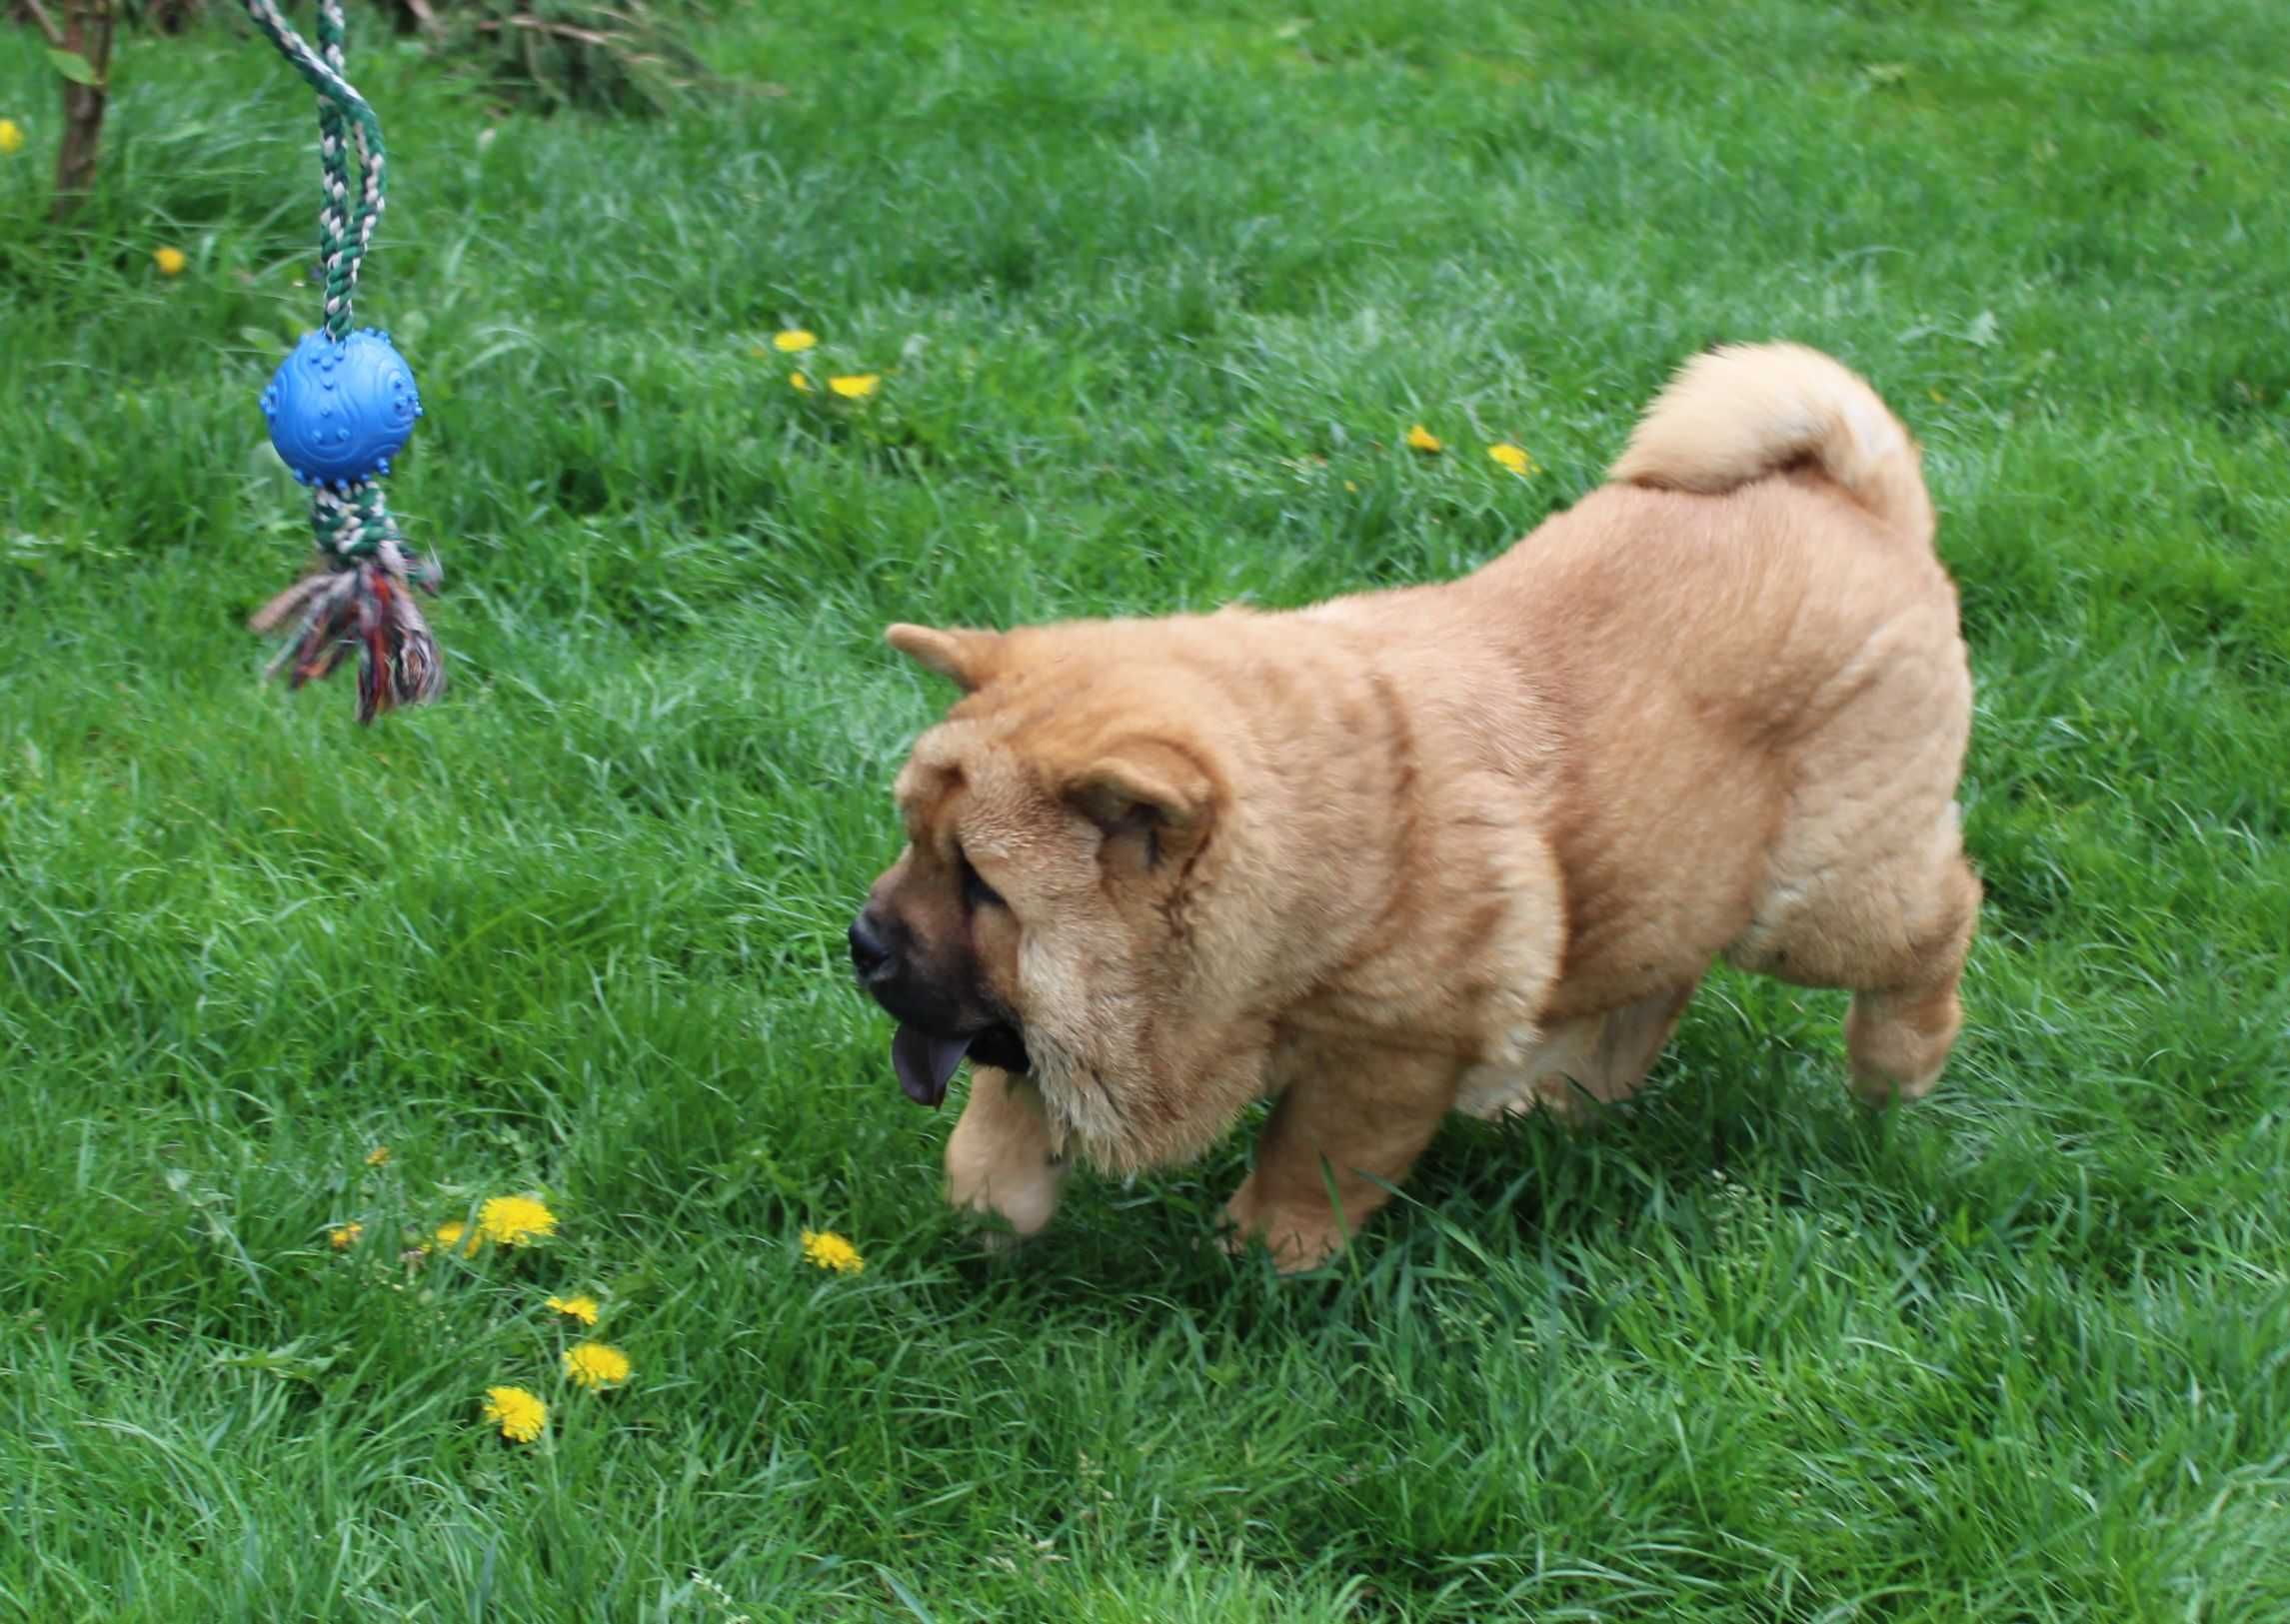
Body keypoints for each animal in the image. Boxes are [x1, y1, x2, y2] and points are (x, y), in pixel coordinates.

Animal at [852, 341, 1978, 1264]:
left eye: (981, 886)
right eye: (913, 840)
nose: (861, 940)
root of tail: (1857, 501)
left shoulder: (1390, 1048)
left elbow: (1310, 1154)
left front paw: (1263, 1257)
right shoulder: (1051, 1029)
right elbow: (1006, 1099)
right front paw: (989, 1207)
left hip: (1814, 894)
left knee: (1937, 920)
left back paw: (1895, 1069)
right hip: (1676, 871)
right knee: (1655, 981)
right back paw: (1558, 1104)